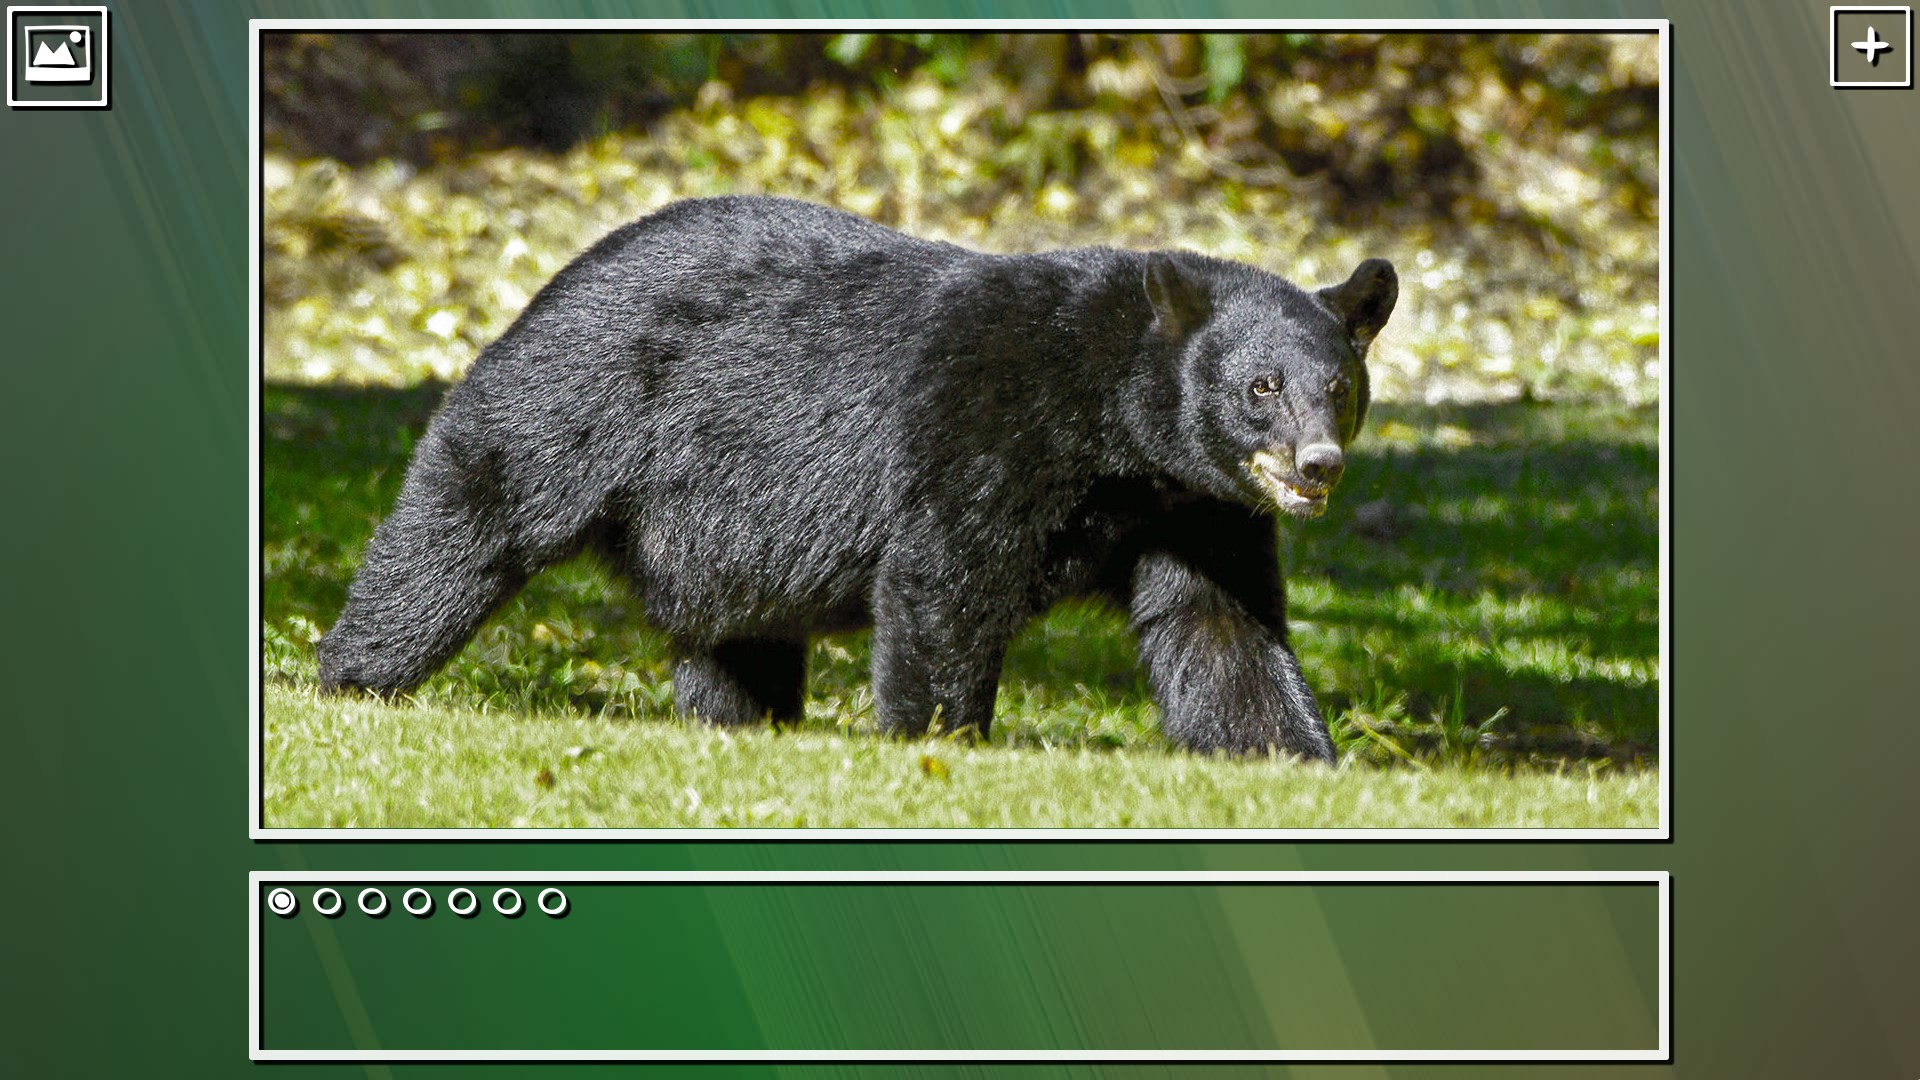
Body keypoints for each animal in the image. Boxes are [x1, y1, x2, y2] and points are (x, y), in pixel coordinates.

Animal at [316, 195, 1397, 761]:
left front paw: (1292, 756)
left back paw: (743, 723)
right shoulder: (986, 425)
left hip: (717, 531)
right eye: (1260, 387)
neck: (1116, 427)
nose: (1317, 464)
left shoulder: (1194, 505)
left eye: (1339, 388)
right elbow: (945, 581)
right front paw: (940, 743)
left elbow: (1220, 626)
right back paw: (352, 676)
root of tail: (558, 275)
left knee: (734, 635)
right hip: (574, 399)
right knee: (467, 520)